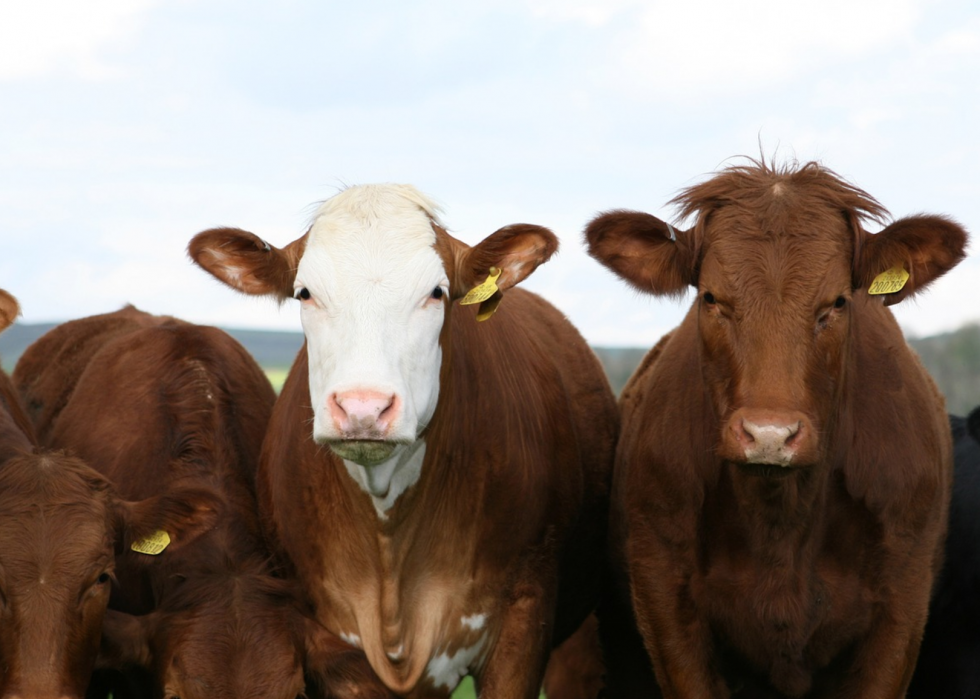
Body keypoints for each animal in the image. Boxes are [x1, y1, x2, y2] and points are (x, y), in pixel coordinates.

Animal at [584, 160, 968, 699]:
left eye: (838, 302)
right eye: (710, 297)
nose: (770, 434)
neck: (781, 521)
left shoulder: (902, 605)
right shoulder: (664, 601)